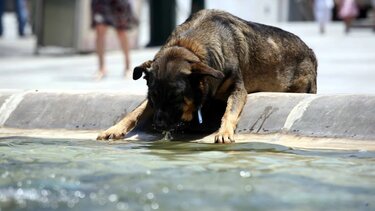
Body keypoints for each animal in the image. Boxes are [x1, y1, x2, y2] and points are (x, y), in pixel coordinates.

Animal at [97, 8, 318, 143]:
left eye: (176, 98)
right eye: (153, 97)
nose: (158, 125)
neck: (190, 47)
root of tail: (311, 51)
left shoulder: (238, 88)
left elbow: (230, 111)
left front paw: (224, 131)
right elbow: (134, 112)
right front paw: (114, 128)